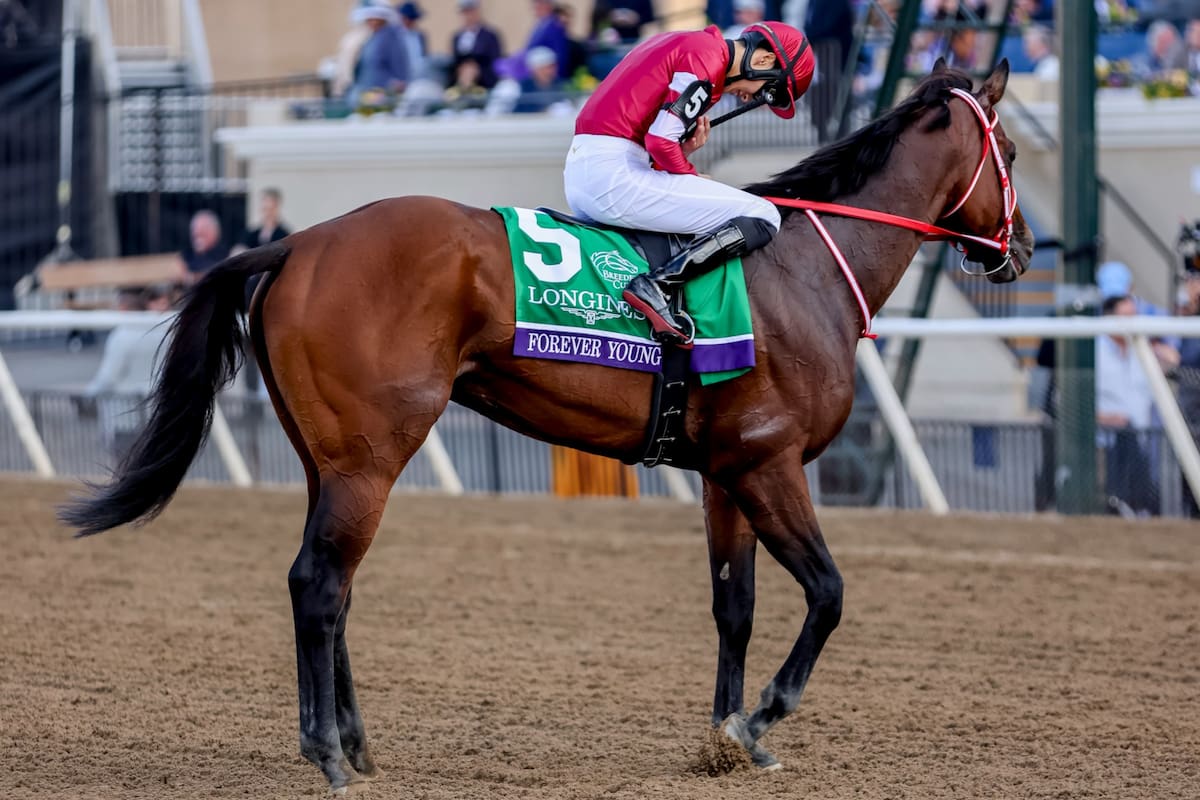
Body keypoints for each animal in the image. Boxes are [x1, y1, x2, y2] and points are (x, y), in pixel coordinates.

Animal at [61, 61, 1032, 791]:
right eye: (1014, 150)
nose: (1022, 250)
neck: (804, 272)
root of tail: (296, 241)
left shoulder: (728, 470)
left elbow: (735, 607)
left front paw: (723, 737)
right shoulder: (771, 462)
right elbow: (828, 593)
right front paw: (762, 718)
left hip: (326, 458)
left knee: (333, 589)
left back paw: (360, 745)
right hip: (371, 457)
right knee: (318, 584)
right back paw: (329, 753)